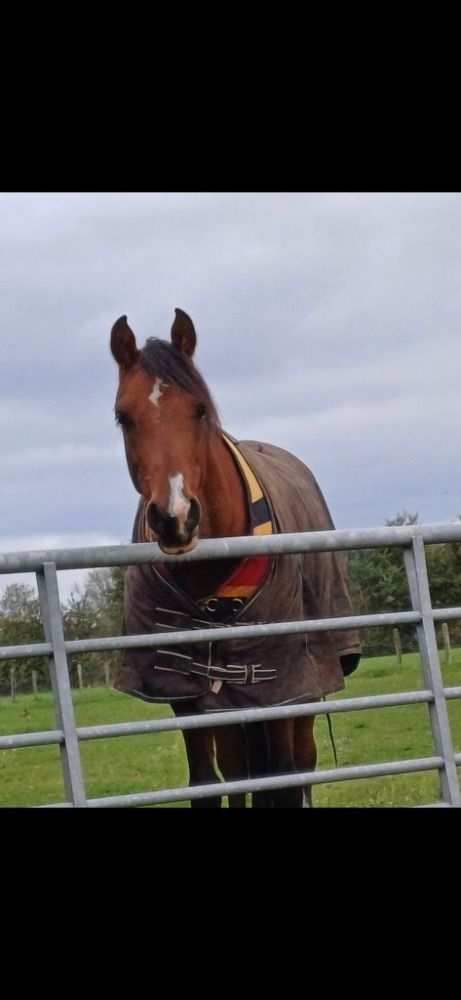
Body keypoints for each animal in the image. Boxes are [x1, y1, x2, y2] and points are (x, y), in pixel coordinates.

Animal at [110, 308, 361, 807]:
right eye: (123, 417)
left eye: (200, 410)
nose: (175, 518)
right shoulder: (184, 693)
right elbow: (210, 783)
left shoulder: (282, 687)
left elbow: (282, 780)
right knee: (240, 768)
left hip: (305, 689)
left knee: (300, 764)